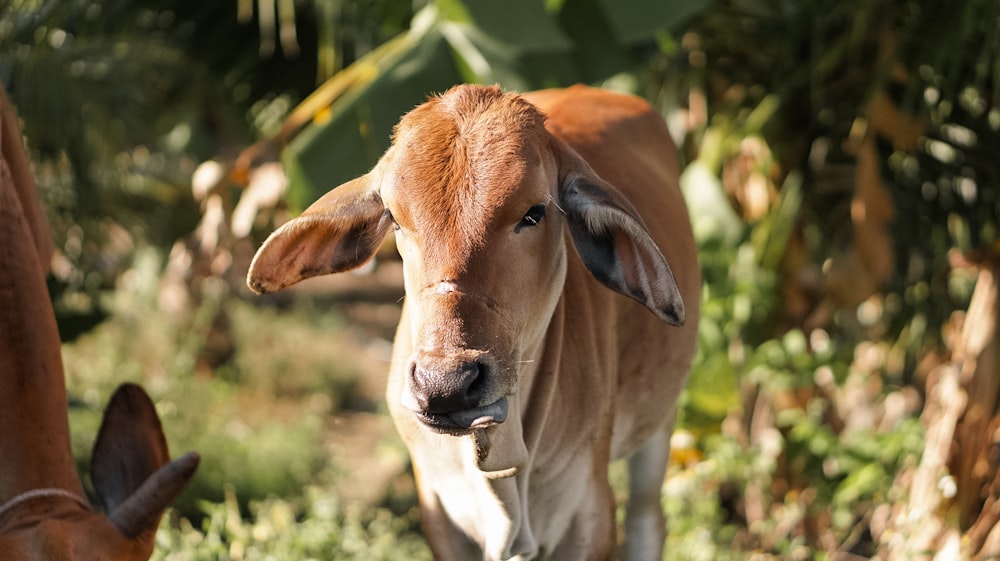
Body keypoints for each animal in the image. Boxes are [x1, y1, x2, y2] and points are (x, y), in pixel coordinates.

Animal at [250, 84, 696, 560]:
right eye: (395, 218)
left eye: (534, 213)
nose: (445, 384)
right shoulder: (439, 510)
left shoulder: (588, 512)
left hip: (659, 427)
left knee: (646, 521)